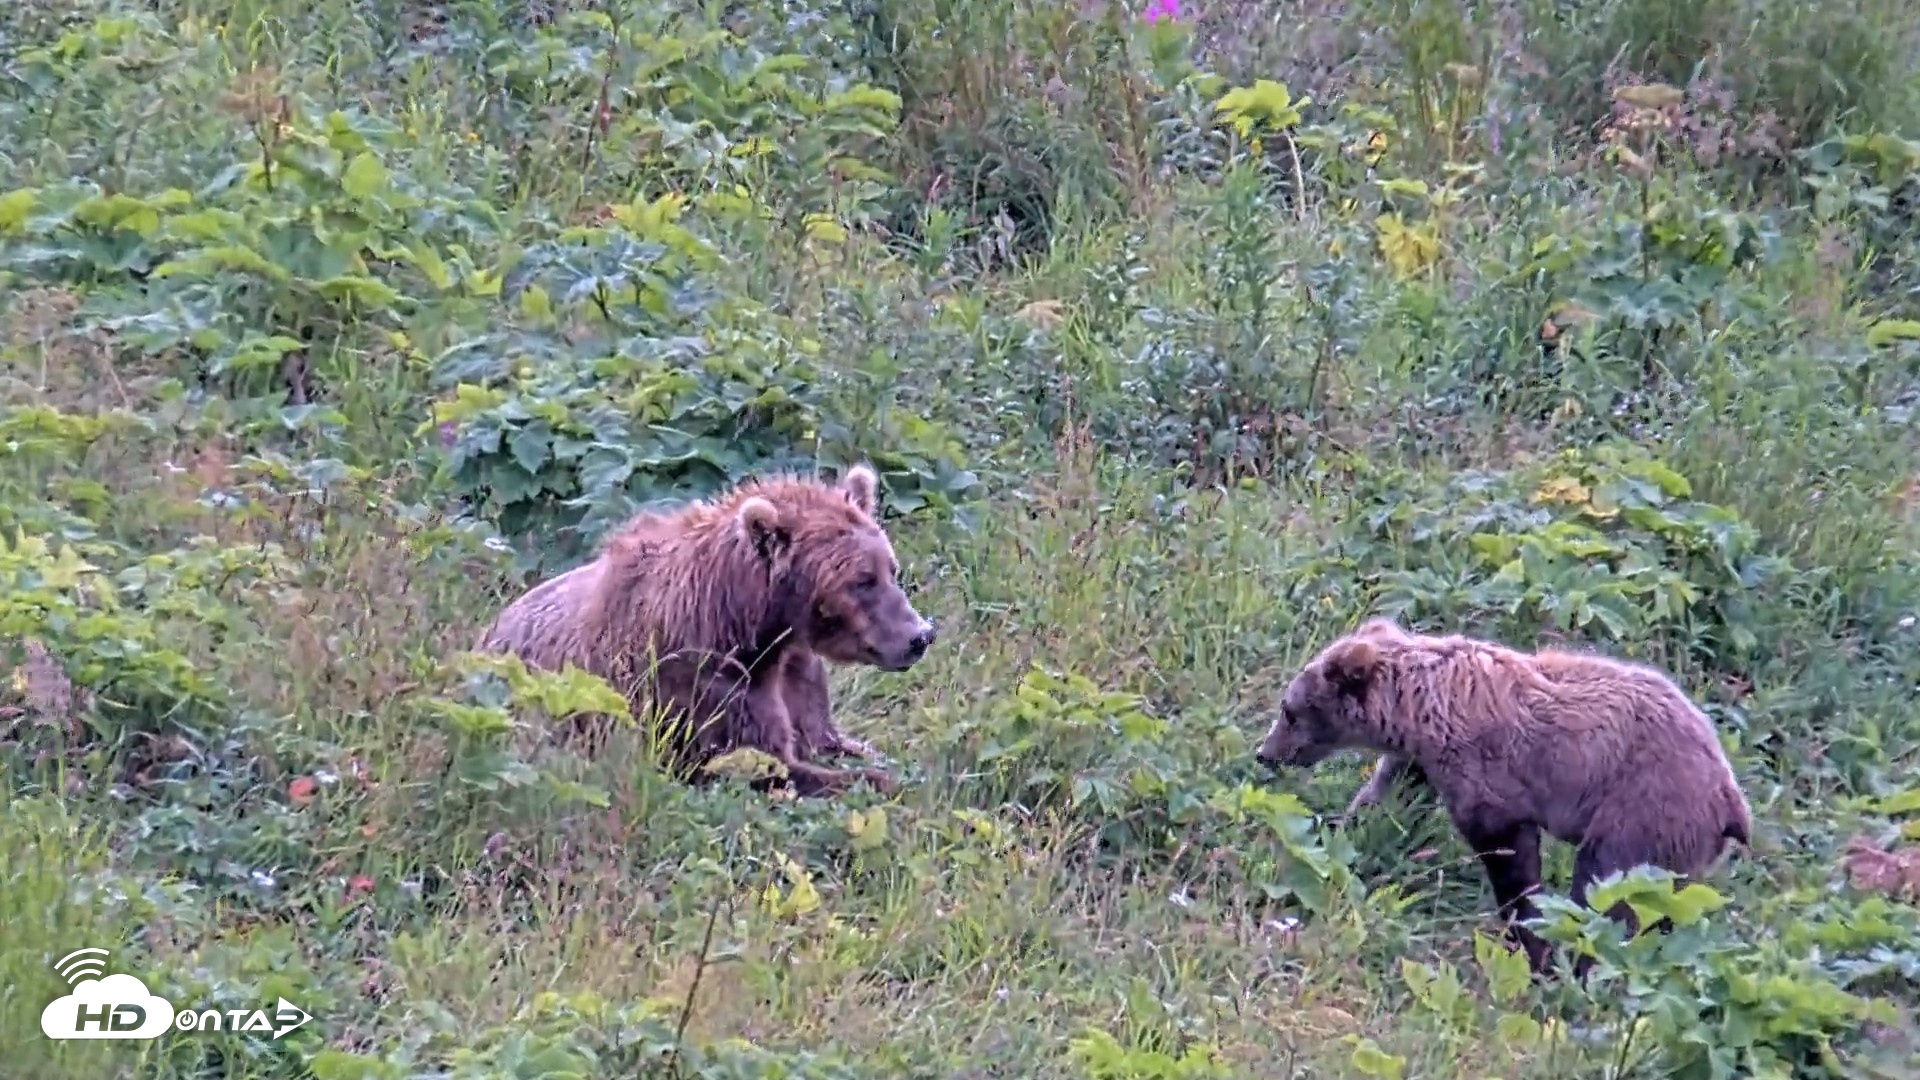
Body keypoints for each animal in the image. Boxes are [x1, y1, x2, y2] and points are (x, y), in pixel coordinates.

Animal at [473, 464, 936, 798]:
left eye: (891, 569)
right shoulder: (696, 683)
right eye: (861, 580)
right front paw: (883, 781)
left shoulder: (795, 669)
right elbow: (756, 760)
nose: (920, 636)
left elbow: (825, 735)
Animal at [1255, 617, 1751, 977]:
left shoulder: (1489, 772)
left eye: (1289, 710)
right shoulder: (1422, 763)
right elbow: (1386, 800)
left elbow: (1509, 853)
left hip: (1645, 810)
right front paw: (1341, 831)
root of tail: (1731, 796)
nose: (1265, 753)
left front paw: (1532, 939)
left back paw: (1579, 966)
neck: (1420, 710)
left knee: (1609, 891)